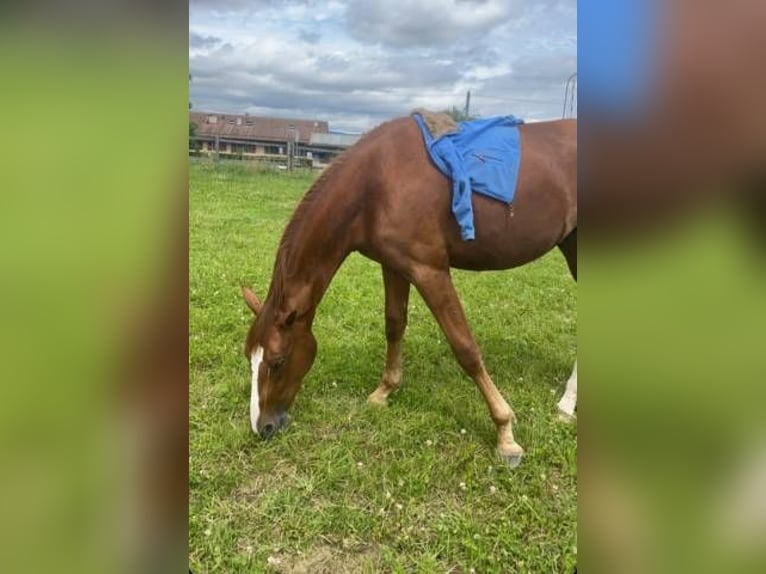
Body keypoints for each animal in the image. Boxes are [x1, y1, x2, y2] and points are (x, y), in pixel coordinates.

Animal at [242, 115, 576, 470]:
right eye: (249, 357)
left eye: (277, 362)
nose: (263, 427)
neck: (375, 184)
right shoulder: (395, 266)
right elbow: (394, 324)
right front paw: (384, 391)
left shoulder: (429, 271)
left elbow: (465, 348)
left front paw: (505, 434)